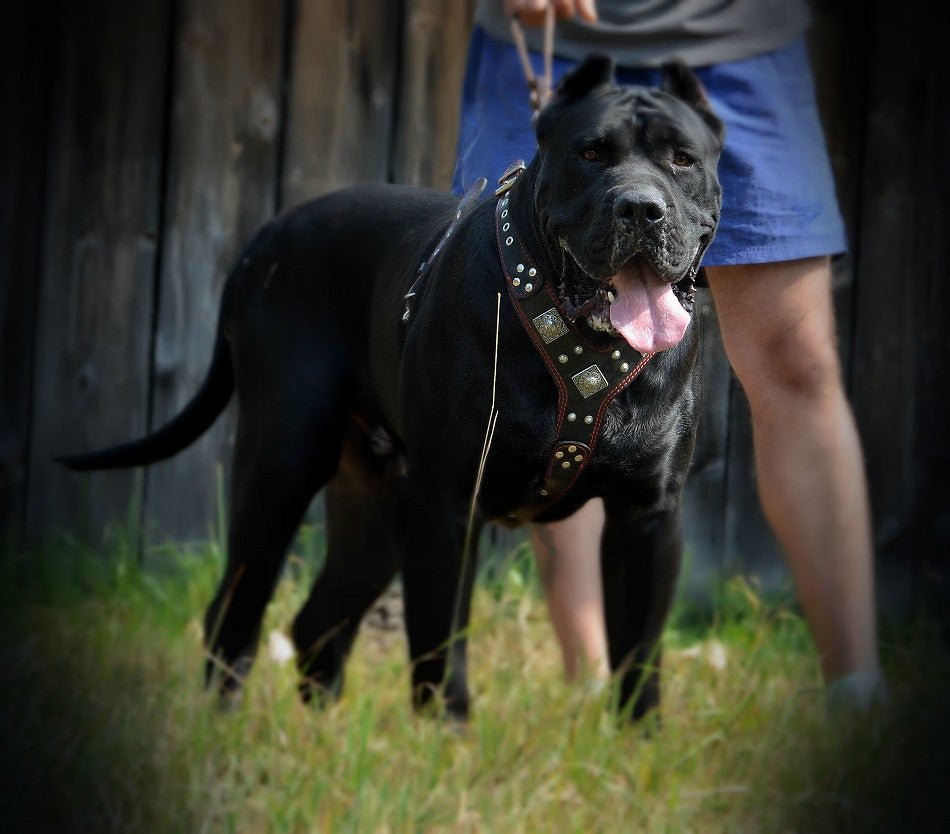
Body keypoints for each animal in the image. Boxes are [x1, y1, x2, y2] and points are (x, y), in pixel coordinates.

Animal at [63, 58, 724, 720]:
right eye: (590, 153)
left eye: (682, 159)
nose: (641, 208)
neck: (581, 348)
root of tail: (265, 238)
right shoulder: (448, 506)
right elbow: (441, 648)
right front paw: (447, 739)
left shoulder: (646, 520)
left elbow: (640, 655)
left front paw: (638, 739)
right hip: (281, 468)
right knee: (236, 609)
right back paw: (222, 723)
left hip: (374, 511)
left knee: (316, 623)